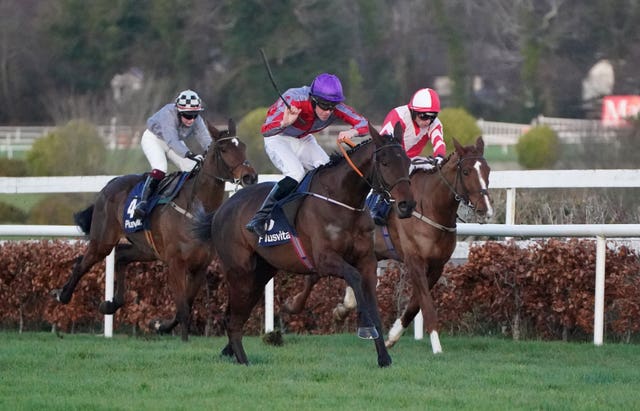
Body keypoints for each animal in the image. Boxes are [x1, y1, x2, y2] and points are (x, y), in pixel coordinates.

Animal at [52, 119, 258, 342]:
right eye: (224, 149)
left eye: (243, 146)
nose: (250, 177)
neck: (196, 212)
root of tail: (109, 184)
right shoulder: (176, 264)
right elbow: (183, 307)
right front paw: (184, 340)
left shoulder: (200, 266)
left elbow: (186, 305)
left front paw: (161, 325)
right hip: (103, 240)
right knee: (83, 263)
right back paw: (63, 295)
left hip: (147, 249)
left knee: (121, 256)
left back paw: (111, 304)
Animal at [192, 122, 418, 366]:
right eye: (385, 163)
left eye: (407, 162)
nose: (407, 205)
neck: (343, 200)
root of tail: (220, 211)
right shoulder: (325, 259)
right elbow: (354, 279)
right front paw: (364, 327)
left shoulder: (367, 260)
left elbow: (372, 302)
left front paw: (384, 357)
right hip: (240, 272)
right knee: (233, 320)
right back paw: (244, 361)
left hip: (260, 273)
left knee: (234, 316)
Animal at [282, 136, 492, 354]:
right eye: (466, 171)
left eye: (488, 170)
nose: (485, 210)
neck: (431, 207)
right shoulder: (415, 260)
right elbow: (426, 303)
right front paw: (437, 347)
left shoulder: (437, 266)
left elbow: (415, 304)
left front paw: (392, 336)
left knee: (319, 274)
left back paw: (338, 306)